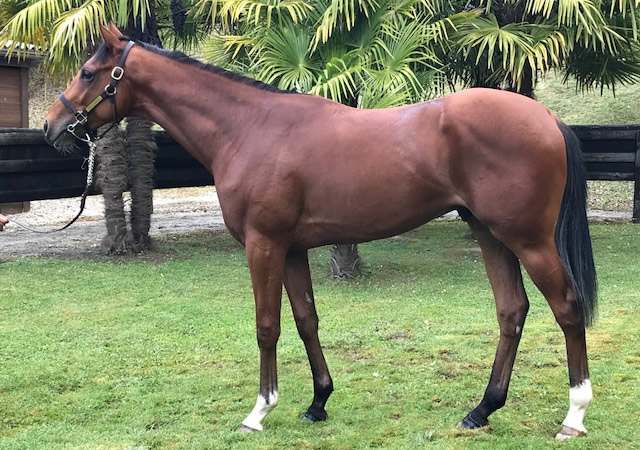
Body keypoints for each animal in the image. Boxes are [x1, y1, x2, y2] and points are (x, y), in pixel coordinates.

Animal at [44, 24, 597, 440]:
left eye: (88, 72)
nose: (51, 127)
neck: (249, 129)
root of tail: (547, 116)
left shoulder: (263, 245)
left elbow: (267, 325)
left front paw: (259, 411)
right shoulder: (291, 250)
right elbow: (306, 319)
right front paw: (318, 402)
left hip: (528, 239)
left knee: (567, 308)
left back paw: (573, 416)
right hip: (490, 234)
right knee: (512, 311)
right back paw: (482, 410)